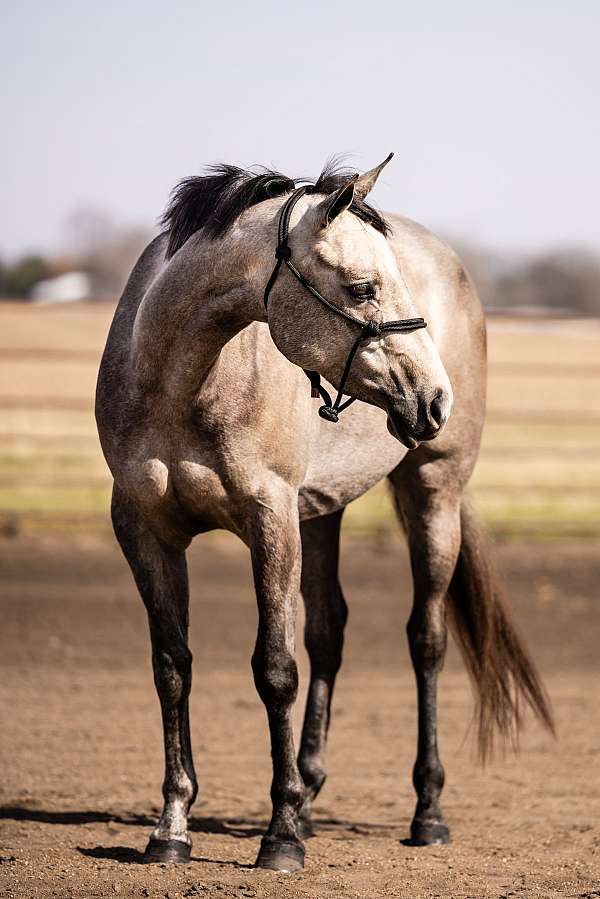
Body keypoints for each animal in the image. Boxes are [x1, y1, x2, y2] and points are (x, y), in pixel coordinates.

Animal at [95, 155, 552, 872]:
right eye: (363, 287)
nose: (435, 397)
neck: (179, 382)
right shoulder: (145, 532)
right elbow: (172, 668)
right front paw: (171, 827)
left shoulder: (271, 520)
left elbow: (276, 669)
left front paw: (279, 837)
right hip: (322, 514)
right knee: (329, 632)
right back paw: (310, 793)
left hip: (433, 494)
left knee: (426, 640)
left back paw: (427, 812)